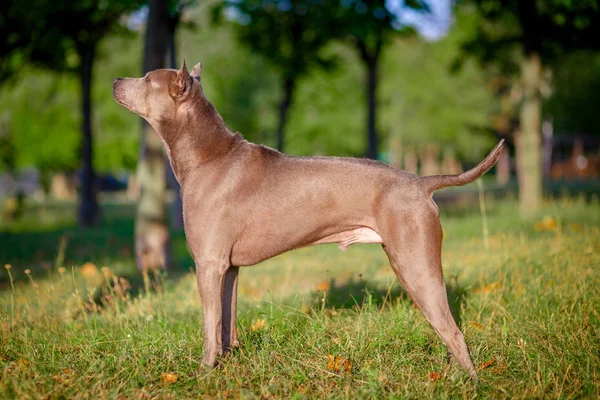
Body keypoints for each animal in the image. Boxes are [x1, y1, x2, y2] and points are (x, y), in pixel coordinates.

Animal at [112, 60, 502, 378]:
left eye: (147, 79)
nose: (115, 79)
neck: (207, 154)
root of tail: (421, 182)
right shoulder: (228, 268)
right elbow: (226, 322)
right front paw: (227, 361)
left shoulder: (208, 264)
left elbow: (210, 324)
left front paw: (204, 372)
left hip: (414, 264)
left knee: (453, 331)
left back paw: (465, 381)